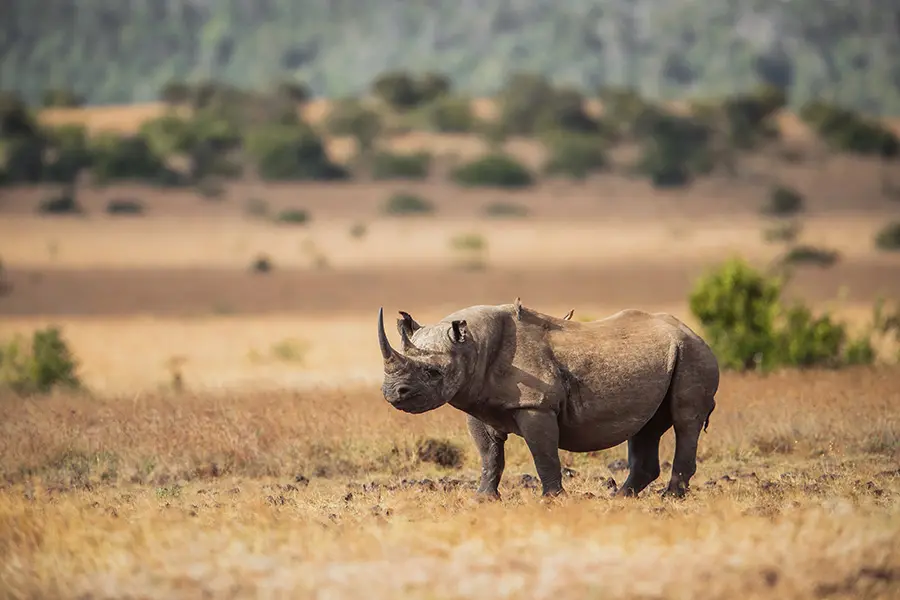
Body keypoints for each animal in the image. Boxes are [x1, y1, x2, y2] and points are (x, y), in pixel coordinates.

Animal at [377, 300, 719, 500]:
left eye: (433, 372)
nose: (393, 393)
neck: (472, 345)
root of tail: (696, 333)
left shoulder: (536, 404)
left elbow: (543, 453)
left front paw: (552, 499)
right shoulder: (476, 401)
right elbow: (489, 455)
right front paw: (484, 499)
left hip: (693, 354)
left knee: (685, 421)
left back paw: (670, 497)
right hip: (669, 355)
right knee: (645, 426)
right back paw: (621, 498)